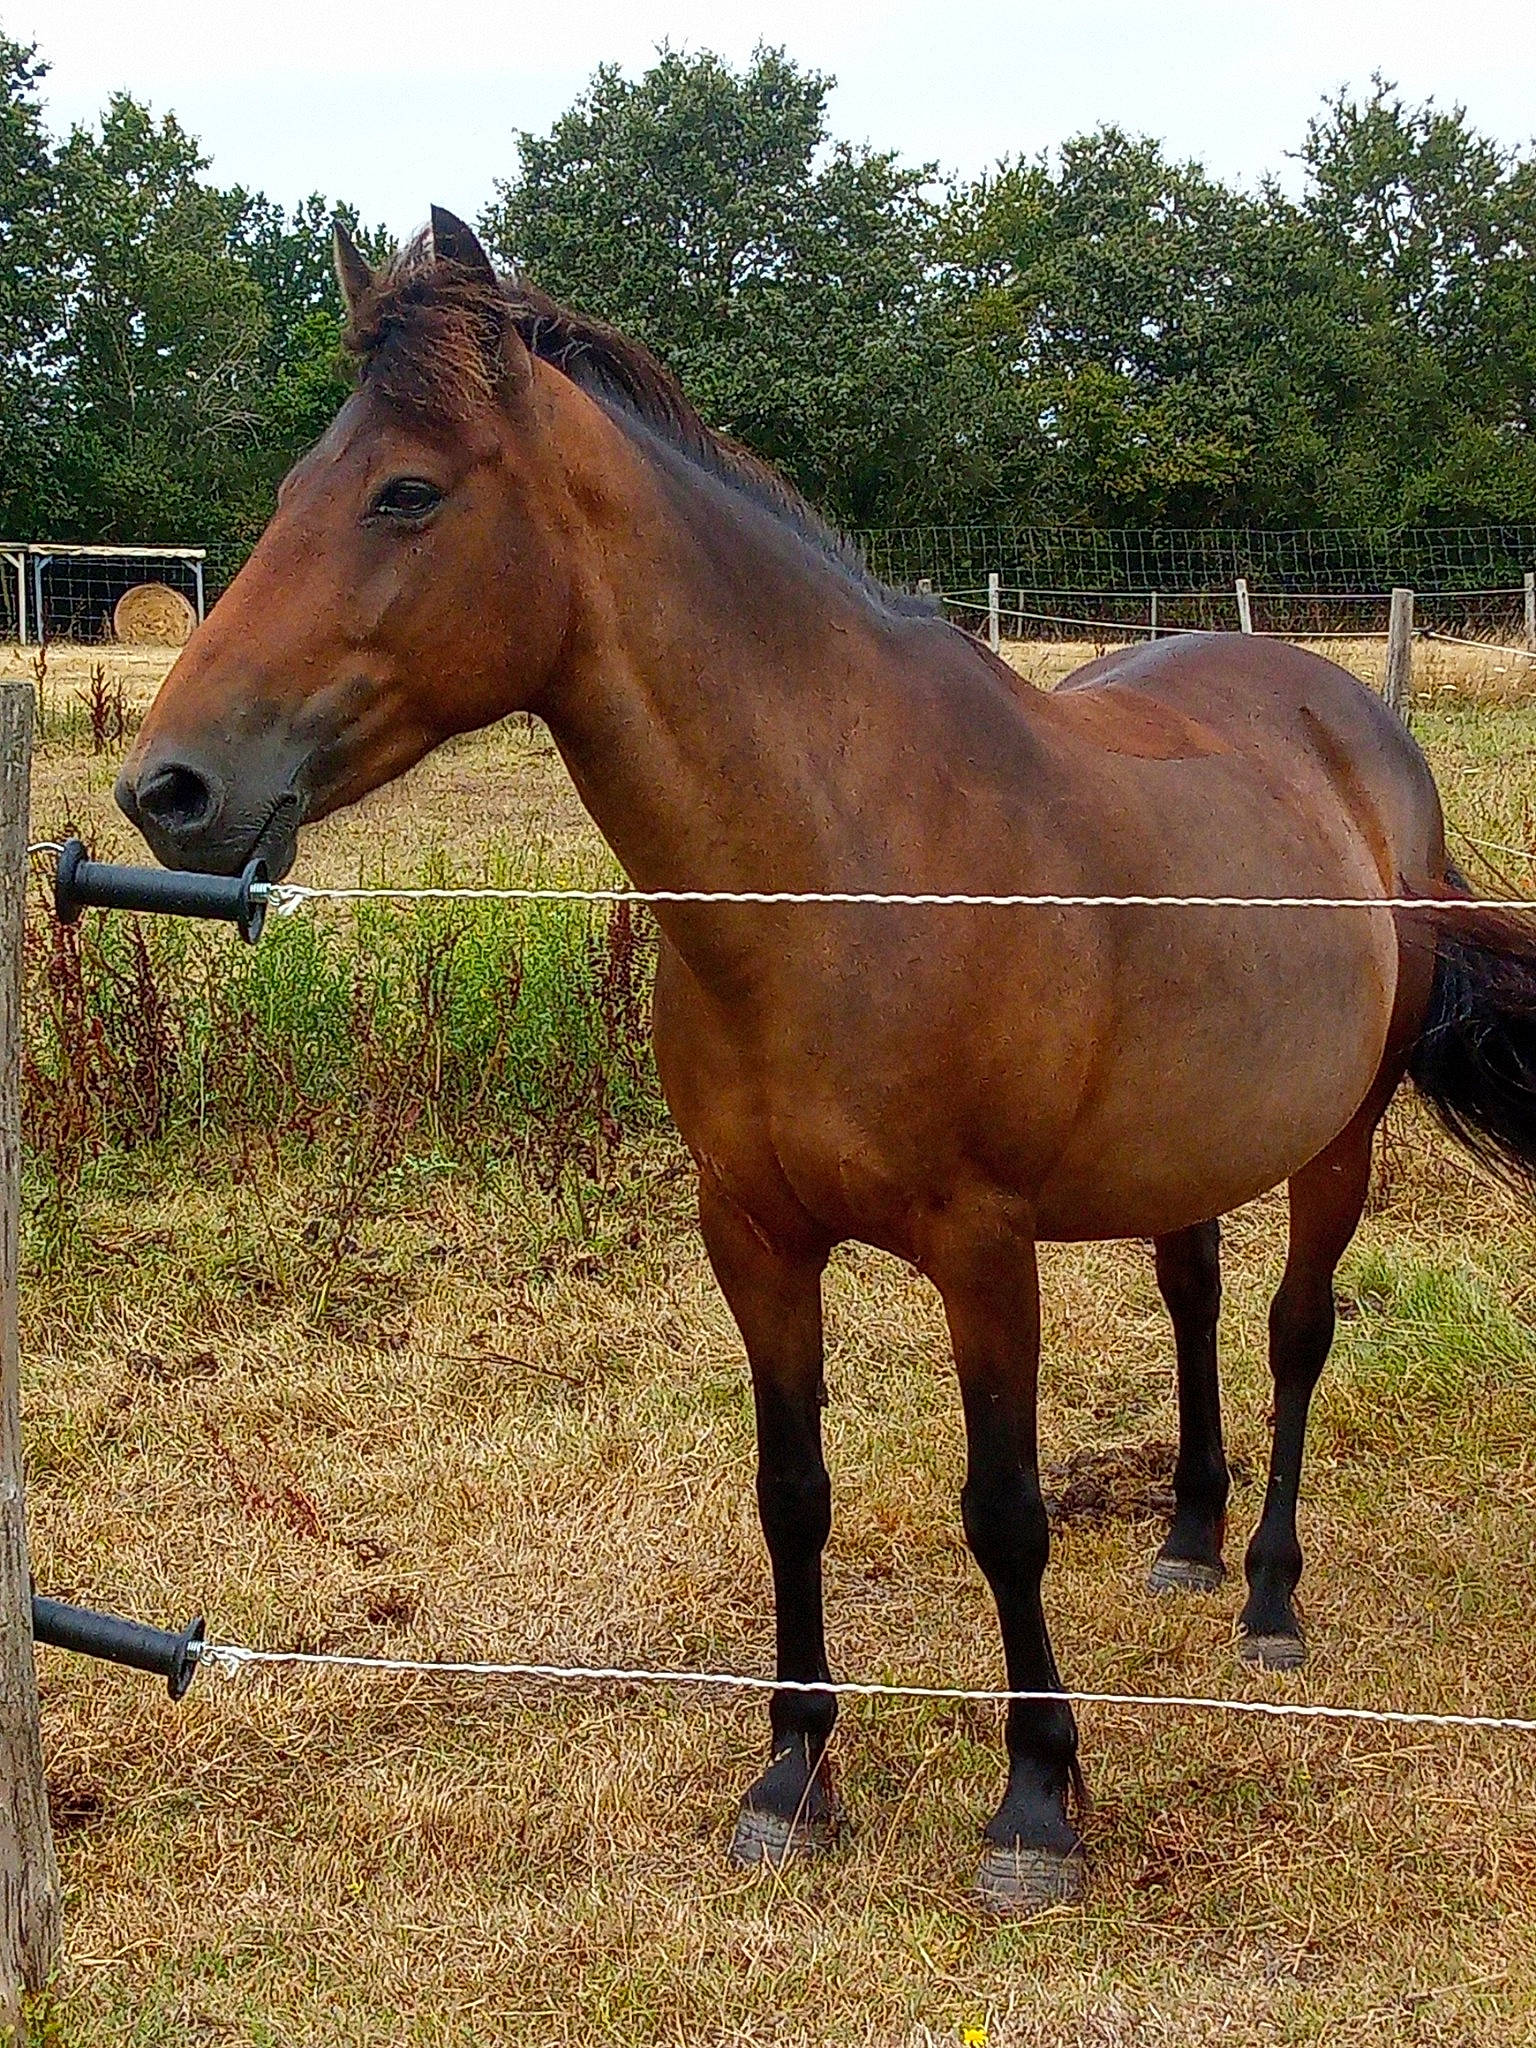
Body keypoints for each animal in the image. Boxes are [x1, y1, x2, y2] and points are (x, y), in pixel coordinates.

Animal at [115, 209, 1536, 1913]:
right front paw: (792, 1775)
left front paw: (1036, 1802)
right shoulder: (753, 1233)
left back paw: (1265, 1596)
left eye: (407, 492)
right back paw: (1188, 1541)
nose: (167, 789)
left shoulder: (983, 1246)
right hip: (1181, 1140)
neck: (847, 867)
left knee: (1292, 1334)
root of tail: (1352, 721)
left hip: (1336, 1141)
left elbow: (1005, 1511)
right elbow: (790, 1493)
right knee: (1195, 1294)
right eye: (289, 493)